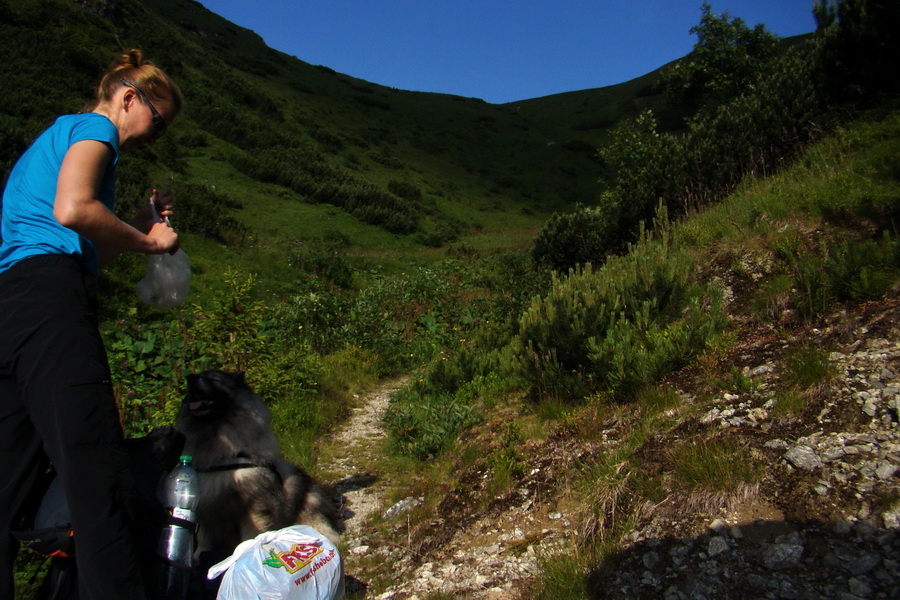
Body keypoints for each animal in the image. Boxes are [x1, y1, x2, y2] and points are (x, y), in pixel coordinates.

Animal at [174, 368, 342, 556]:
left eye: (215, 379)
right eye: (196, 375)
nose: (190, 377)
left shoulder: (253, 507)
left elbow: (251, 534)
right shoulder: (203, 509)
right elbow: (202, 542)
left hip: (307, 501)